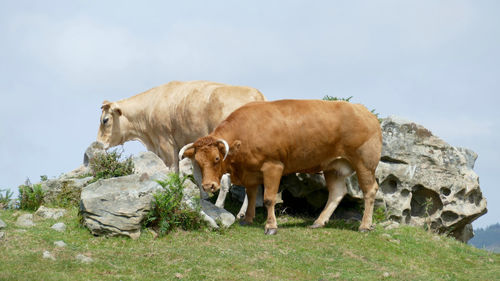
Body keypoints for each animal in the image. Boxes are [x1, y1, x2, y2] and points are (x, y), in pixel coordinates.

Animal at [182, 99, 380, 234]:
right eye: (198, 162)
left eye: (217, 158)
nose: (208, 186)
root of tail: (364, 111)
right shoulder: (250, 172)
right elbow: (251, 195)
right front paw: (248, 219)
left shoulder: (273, 166)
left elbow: (269, 198)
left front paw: (271, 226)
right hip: (333, 166)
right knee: (337, 192)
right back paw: (319, 221)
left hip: (364, 163)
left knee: (370, 190)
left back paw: (365, 225)